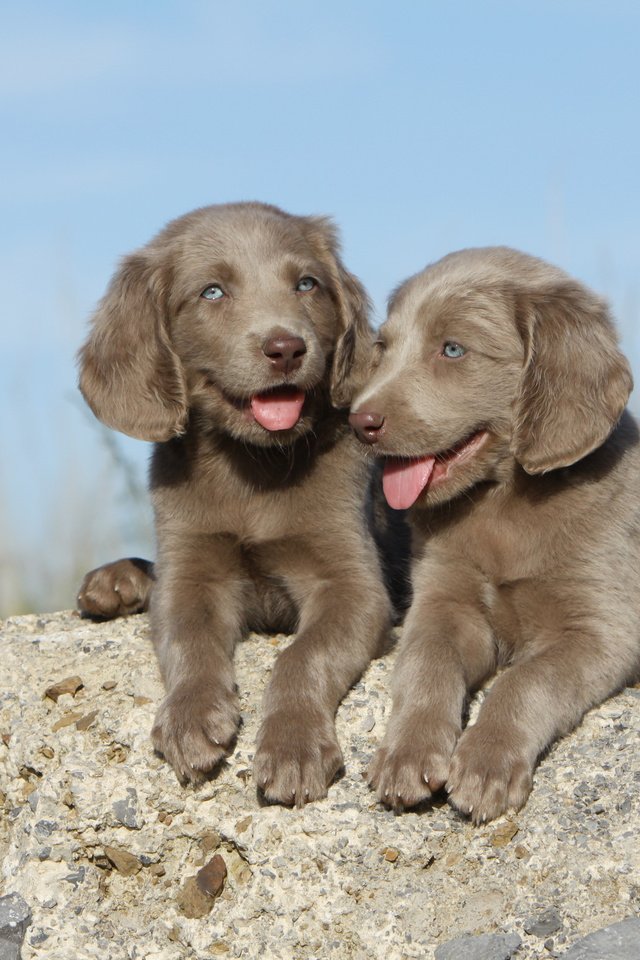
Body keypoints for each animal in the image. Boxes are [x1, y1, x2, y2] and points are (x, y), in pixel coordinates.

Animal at [79, 202, 390, 804]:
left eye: (307, 284)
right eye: (212, 292)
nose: (286, 348)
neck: (255, 467)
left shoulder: (352, 583)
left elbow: (302, 656)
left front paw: (293, 746)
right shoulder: (191, 567)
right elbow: (189, 639)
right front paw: (191, 718)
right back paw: (116, 581)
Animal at [352, 248, 636, 824]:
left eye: (453, 349)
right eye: (383, 348)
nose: (358, 421)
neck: (502, 505)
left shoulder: (602, 629)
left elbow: (525, 680)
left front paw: (486, 764)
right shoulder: (443, 601)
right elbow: (426, 663)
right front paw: (407, 752)